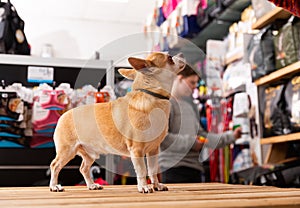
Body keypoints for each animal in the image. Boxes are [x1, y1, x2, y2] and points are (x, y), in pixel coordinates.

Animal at [48, 52, 185, 193]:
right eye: (169, 58)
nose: (181, 54)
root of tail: (64, 114)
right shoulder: (137, 150)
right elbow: (142, 170)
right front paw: (143, 186)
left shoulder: (153, 150)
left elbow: (152, 170)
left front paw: (156, 185)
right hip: (67, 151)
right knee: (55, 165)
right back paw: (54, 186)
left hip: (89, 154)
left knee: (83, 168)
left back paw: (92, 185)